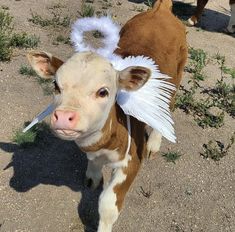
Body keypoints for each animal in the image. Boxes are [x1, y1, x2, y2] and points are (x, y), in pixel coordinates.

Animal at [25, 0, 187, 231]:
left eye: (103, 92)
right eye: (56, 85)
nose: (64, 116)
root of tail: (161, 9)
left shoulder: (132, 160)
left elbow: (108, 205)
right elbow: (93, 164)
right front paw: (92, 177)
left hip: (176, 78)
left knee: (168, 106)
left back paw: (155, 143)